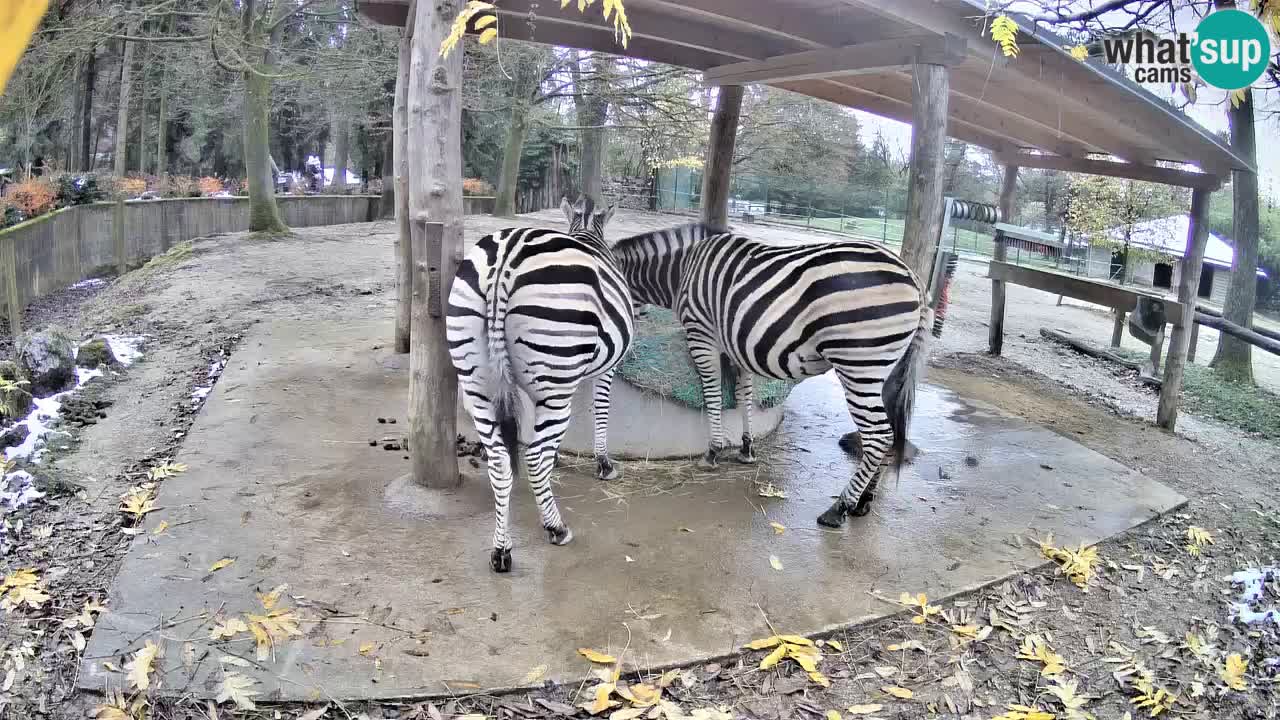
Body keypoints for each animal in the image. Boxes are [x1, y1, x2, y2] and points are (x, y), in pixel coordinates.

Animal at [446, 197, 634, 573]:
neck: (588, 235)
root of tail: (505, 258)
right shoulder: (604, 368)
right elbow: (600, 411)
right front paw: (603, 463)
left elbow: (540, 428)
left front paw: (558, 457)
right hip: (553, 375)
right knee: (531, 458)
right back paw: (555, 528)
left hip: (477, 381)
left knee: (500, 460)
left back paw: (501, 550)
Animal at [611, 223, 932, 528]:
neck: (682, 269)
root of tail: (913, 277)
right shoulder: (735, 342)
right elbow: (744, 395)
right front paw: (746, 447)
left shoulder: (701, 333)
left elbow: (713, 392)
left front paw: (713, 452)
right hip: (887, 369)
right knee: (889, 433)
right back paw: (864, 501)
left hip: (859, 364)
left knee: (878, 435)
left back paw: (839, 508)